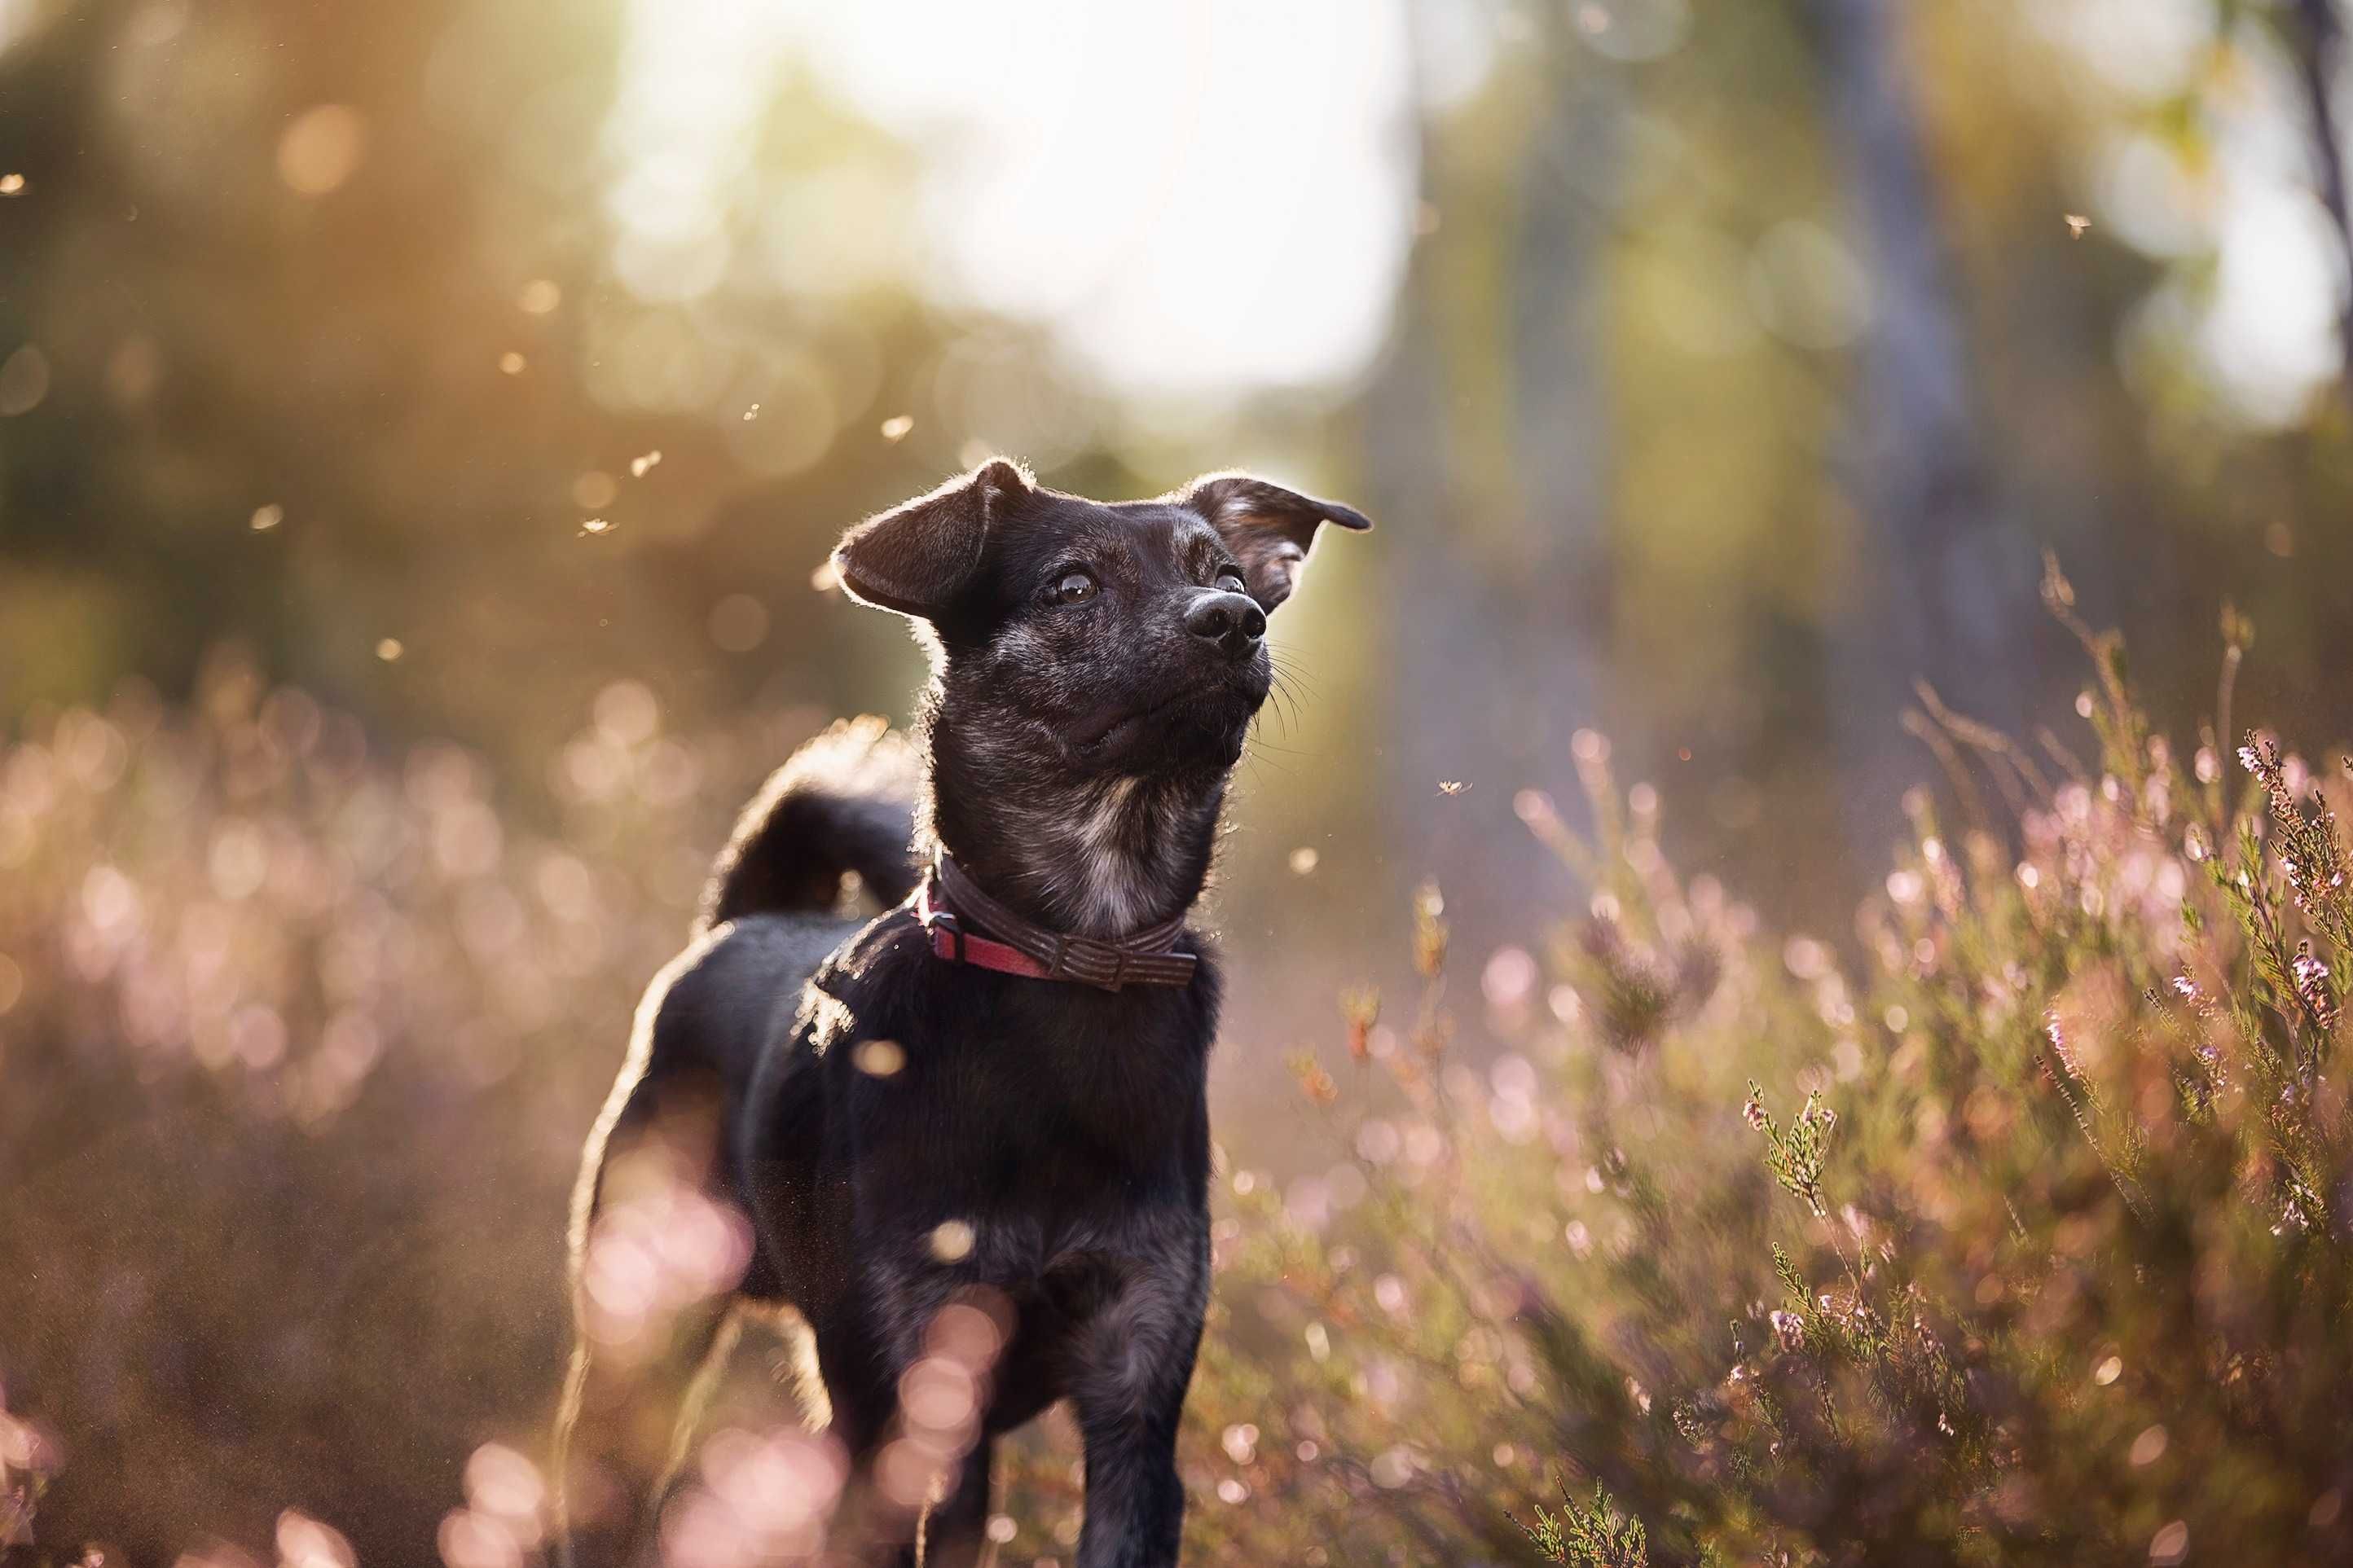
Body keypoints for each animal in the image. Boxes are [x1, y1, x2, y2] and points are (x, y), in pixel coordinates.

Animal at [557, 460, 1374, 1561]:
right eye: (1070, 586)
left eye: (1226, 572)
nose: (1234, 619)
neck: (1074, 959)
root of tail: (745, 917)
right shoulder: (887, 1411)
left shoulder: (1134, 1404)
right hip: (643, 1331)